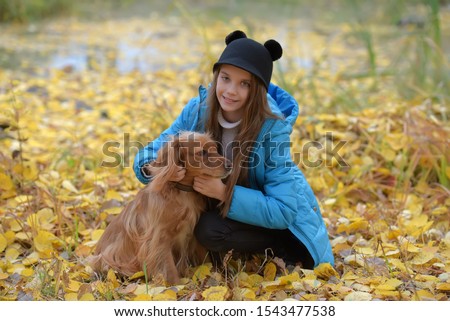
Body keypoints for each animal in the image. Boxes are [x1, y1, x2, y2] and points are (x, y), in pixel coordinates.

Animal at [91, 131, 232, 282]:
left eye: (215, 149)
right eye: (202, 152)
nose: (230, 165)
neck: (182, 193)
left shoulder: (193, 235)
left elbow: (204, 258)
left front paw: (212, 275)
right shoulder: (158, 238)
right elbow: (168, 267)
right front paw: (176, 285)